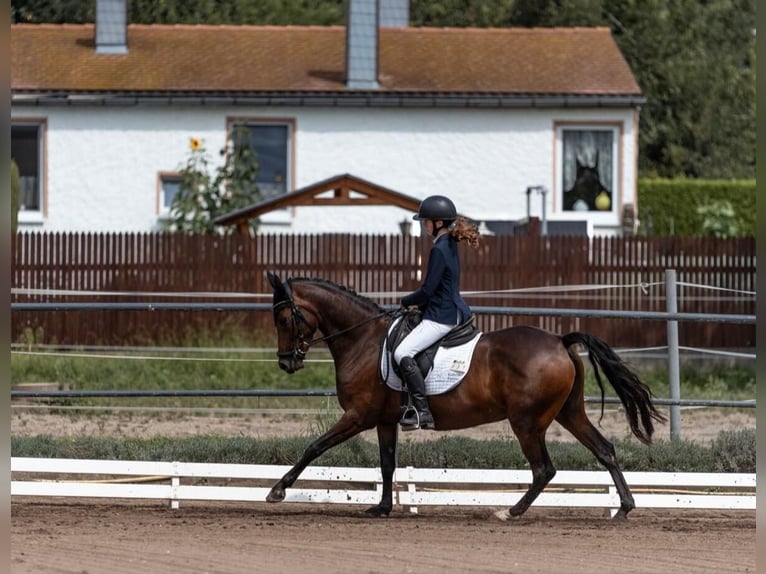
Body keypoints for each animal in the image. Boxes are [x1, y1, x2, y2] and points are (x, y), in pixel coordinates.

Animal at [264, 274, 664, 520]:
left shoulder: (358, 415)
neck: (362, 340)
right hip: (569, 412)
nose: (286, 362)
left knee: (543, 469)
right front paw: (382, 508)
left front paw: (277, 491)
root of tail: (559, 340)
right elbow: (387, 464)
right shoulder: (383, 421)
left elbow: (315, 446)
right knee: (604, 450)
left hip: (527, 422)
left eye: (283, 319)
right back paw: (625, 507)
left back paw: (510, 512)